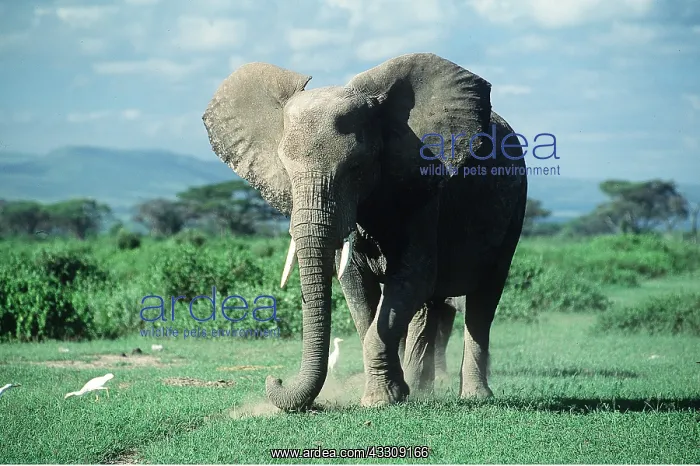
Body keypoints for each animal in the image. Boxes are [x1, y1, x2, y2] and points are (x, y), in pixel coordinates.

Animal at [202, 52, 527, 411]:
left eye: (356, 168)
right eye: (285, 170)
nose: (275, 380)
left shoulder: (424, 191)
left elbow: (411, 279)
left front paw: (379, 401)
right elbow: (357, 289)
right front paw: (394, 394)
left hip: (516, 206)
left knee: (484, 299)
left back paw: (474, 395)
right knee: (429, 306)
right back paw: (420, 389)